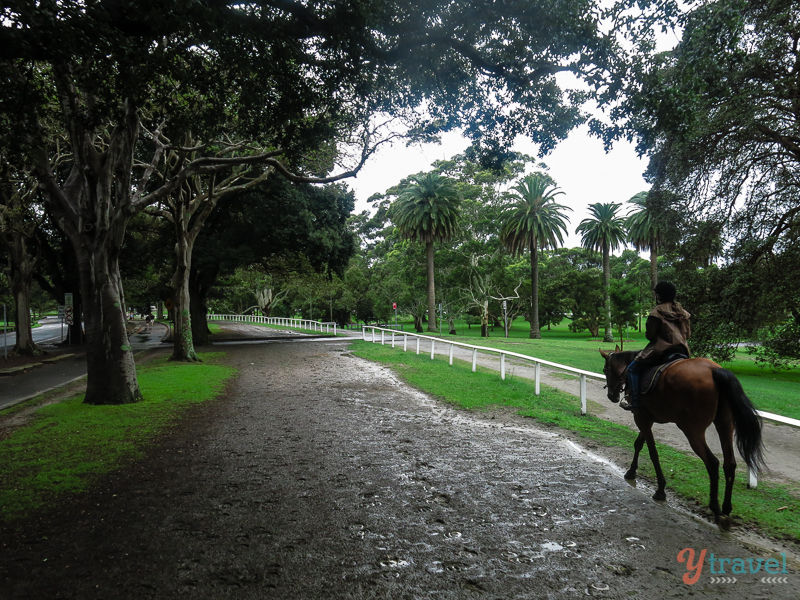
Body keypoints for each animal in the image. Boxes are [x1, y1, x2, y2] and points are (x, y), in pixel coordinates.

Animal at [600, 346, 764, 528]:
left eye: (605, 370)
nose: (612, 396)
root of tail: (714, 370)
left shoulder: (640, 417)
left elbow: (653, 453)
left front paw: (660, 489)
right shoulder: (646, 418)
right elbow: (639, 444)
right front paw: (631, 471)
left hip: (692, 430)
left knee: (712, 462)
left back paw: (715, 508)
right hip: (725, 424)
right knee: (729, 464)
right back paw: (726, 509)